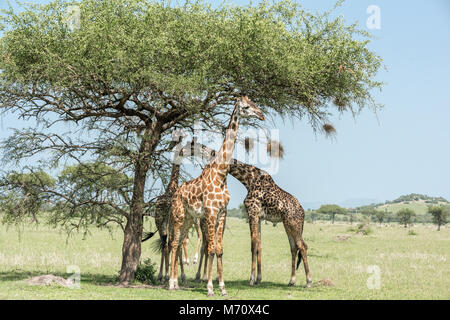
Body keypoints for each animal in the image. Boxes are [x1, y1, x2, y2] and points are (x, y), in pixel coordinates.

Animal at [167, 95, 264, 298]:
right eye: (245, 107)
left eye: (253, 103)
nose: (261, 114)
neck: (221, 174)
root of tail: (176, 193)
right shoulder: (211, 213)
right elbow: (211, 248)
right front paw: (210, 287)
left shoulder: (222, 213)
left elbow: (219, 249)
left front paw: (223, 287)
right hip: (179, 216)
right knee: (174, 243)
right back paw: (171, 283)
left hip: (189, 219)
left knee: (178, 243)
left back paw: (177, 283)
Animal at [185, 140, 312, 288]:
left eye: (190, 146)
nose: (181, 151)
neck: (248, 180)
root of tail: (302, 211)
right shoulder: (258, 217)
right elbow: (259, 246)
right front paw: (258, 278)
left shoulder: (252, 213)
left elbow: (253, 246)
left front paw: (251, 279)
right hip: (287, 225)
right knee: (293, 247)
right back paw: (291, 281)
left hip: (293, 223)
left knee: (302, 246)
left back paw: (309, 281)